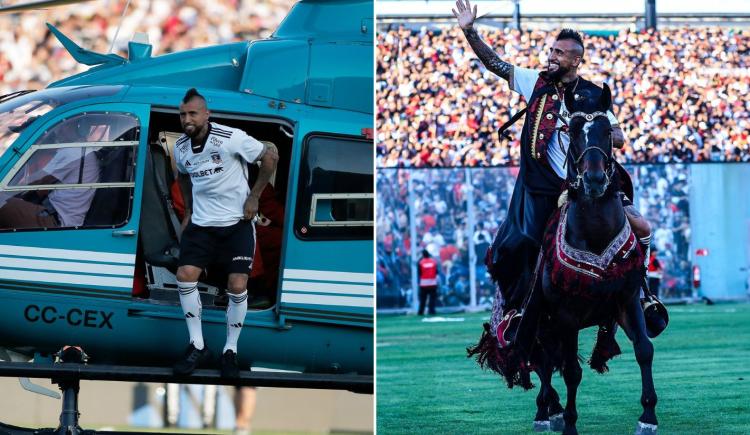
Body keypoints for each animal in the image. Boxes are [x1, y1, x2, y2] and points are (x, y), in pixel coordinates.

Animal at [470, 85, 656, 435]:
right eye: (572, 131)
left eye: (607, 131)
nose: (594, 180)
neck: (594, 232)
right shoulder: (567, 314)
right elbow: (570, 370)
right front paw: (569, 422)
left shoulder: (626, 299)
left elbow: (644, 349)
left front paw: (648, 417)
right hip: (538, 317)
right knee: (538, 357)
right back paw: (549, 411)